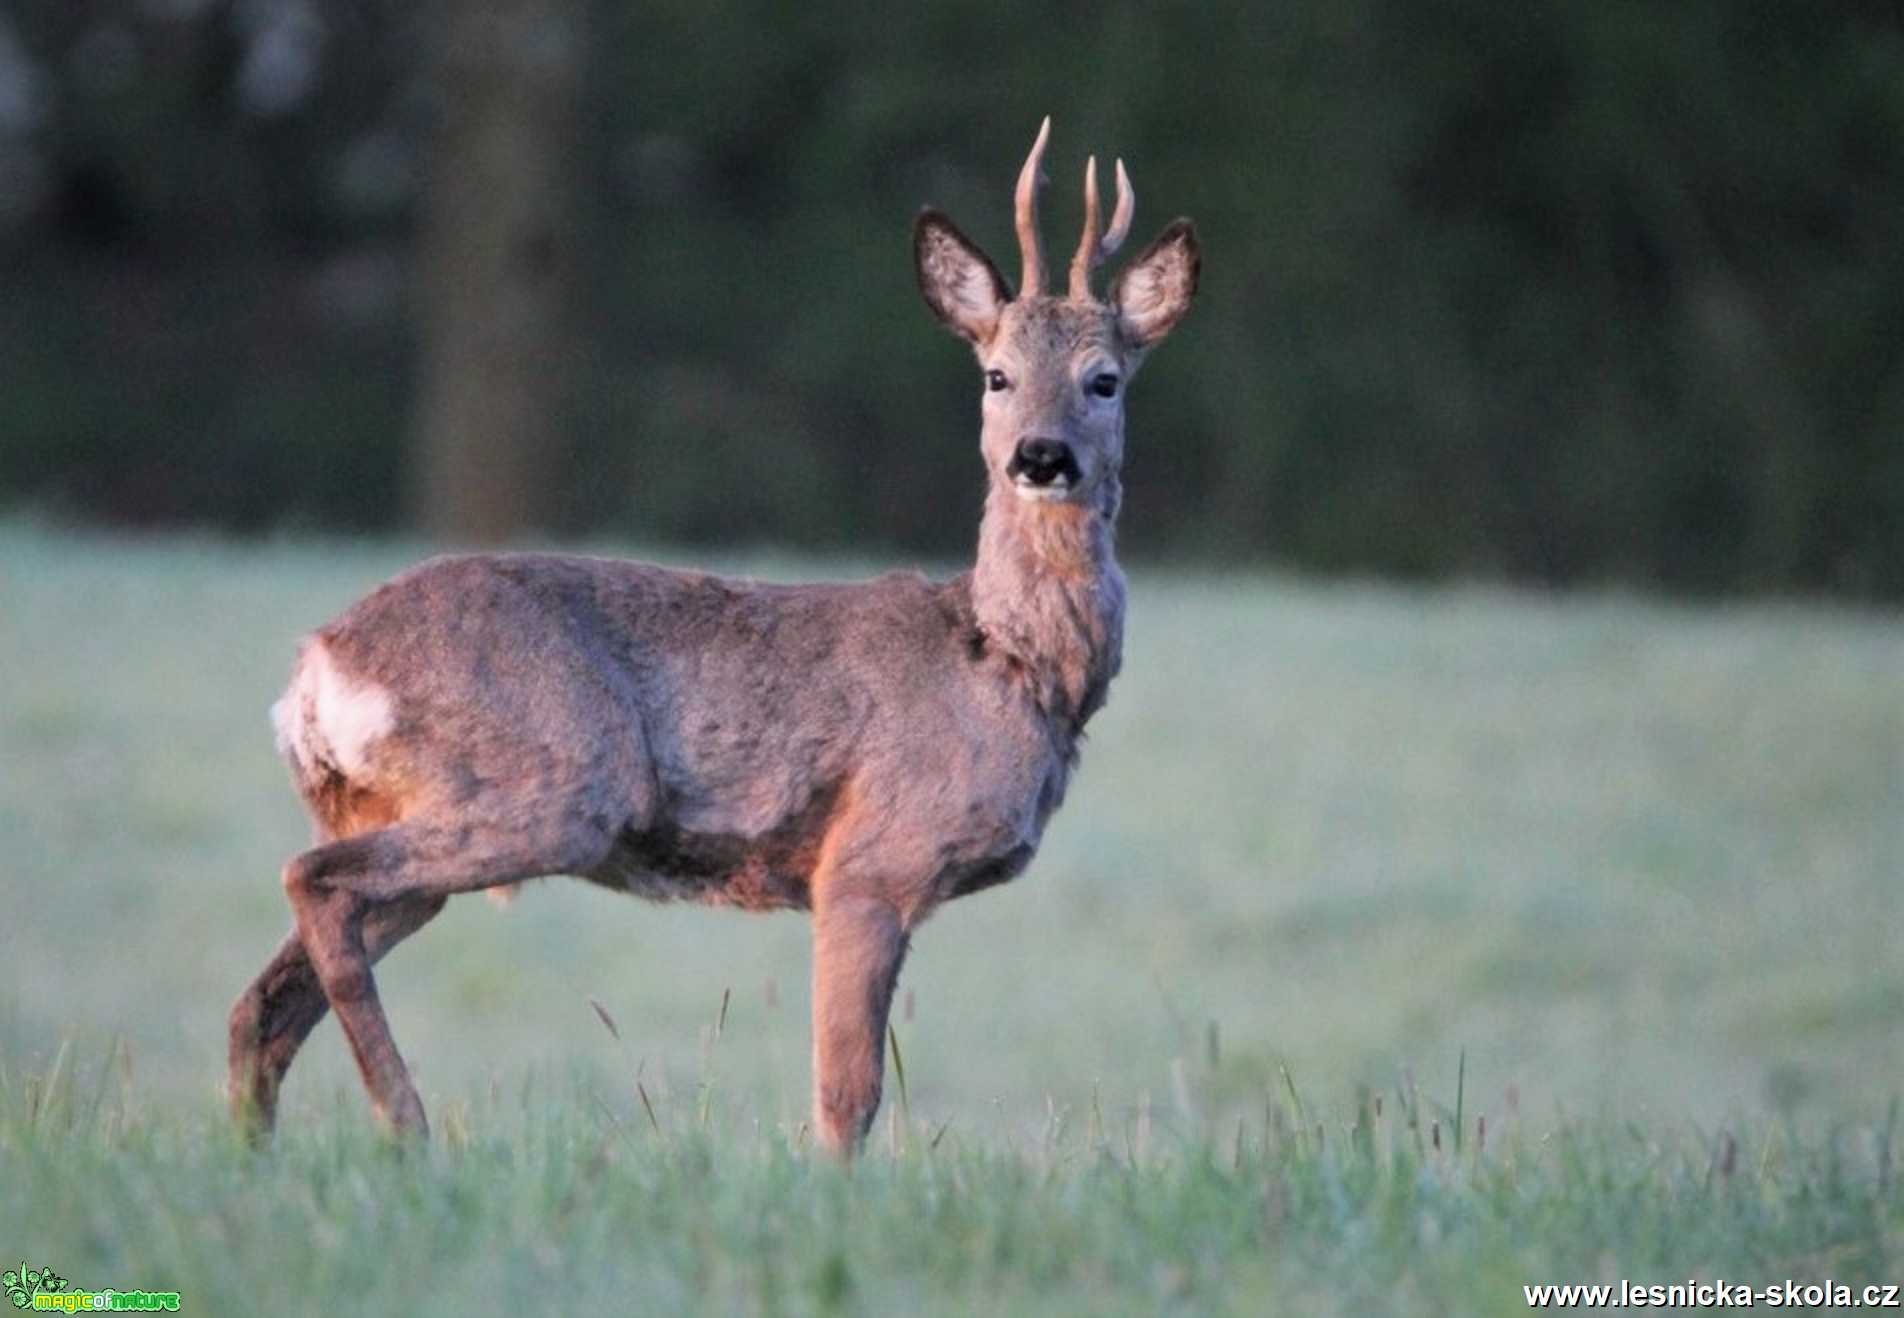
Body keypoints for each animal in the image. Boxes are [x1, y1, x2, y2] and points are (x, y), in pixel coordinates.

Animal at [230, 123, 1195, 1150]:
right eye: (996, 375)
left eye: (1104, 380)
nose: (1040, 457)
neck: (1005, 661)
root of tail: (317, 666)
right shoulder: (868, 861)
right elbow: (846, 1095)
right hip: (555, 786)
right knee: (309, 883)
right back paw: (407, 1124)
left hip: (400, 815)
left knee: (264, 1000)